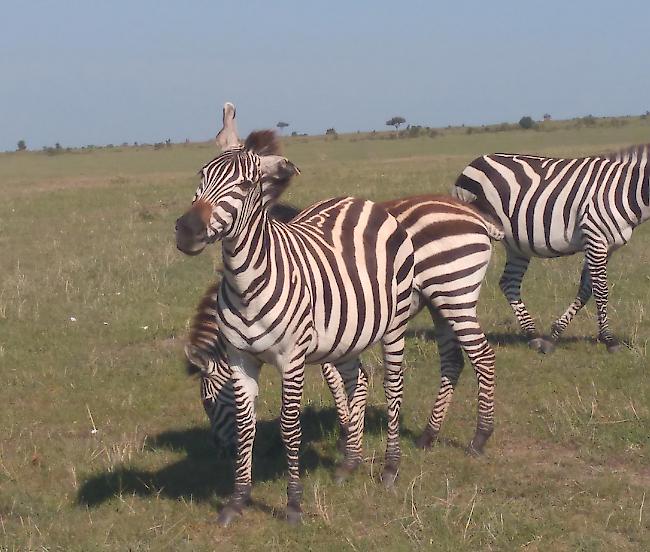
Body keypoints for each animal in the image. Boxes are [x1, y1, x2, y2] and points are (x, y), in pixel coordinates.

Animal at [175, 118, 412, 524]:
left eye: (244, 185)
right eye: (201, 176)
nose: (187, 229)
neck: (246, 285)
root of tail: (361, 202)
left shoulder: (292, 359)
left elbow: (290, 427)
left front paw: (293, 504)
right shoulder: (241, 359)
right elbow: (246, 426)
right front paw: (237, 500)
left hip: (394, 322)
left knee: (392, 386)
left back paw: (390, 469)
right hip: (346, 332)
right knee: (358, 379)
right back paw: (349, 463)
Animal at [450, 144, 648, 352]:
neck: (625, 190)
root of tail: (475, 161)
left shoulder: (604, 246)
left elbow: (586, 290)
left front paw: (554, 335)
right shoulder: (594, 237)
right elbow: (601, 290)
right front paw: (609, 339)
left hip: (516, 244)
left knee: (509, 282)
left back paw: (533, 335)